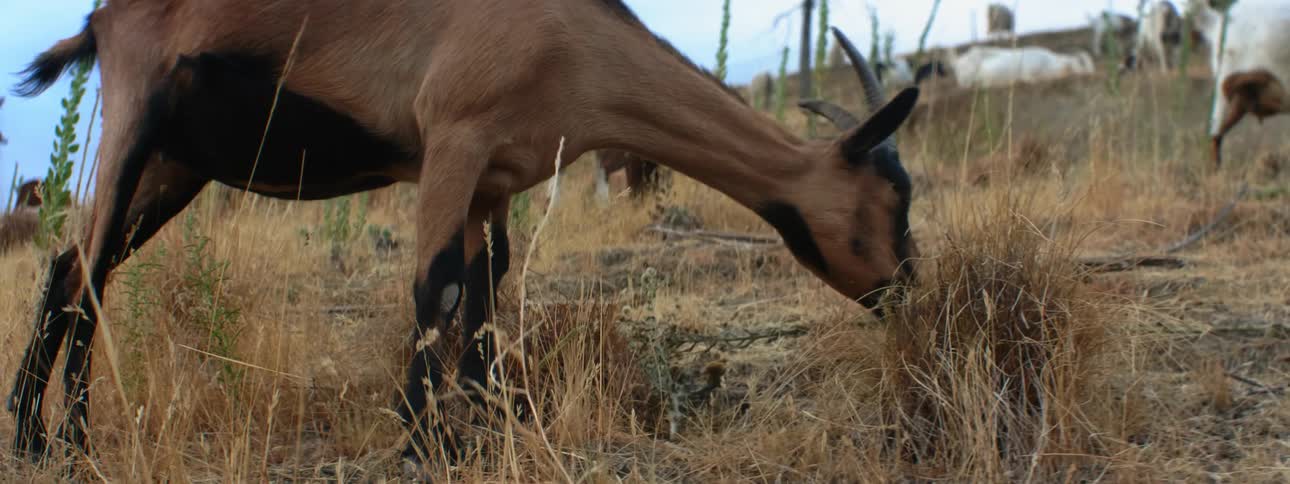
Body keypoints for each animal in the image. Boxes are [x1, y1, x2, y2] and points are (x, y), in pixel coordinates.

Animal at [9, 0, 919, 472]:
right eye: (896, 197)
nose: (907, 288)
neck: (573, 43)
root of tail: (101, 18)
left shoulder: (495, 179)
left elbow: (486, 292)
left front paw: (487, 426)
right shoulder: (452, 139)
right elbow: (437, 285)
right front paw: (426, 443)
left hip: (174, 165)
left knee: (75, 268)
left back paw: (49, 436)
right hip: (132, 123)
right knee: (84, 270)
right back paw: (51, 438)